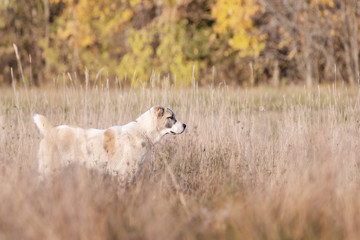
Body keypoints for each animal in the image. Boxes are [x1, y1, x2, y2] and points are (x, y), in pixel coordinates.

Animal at [32, 106, 187, 183]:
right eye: (171, 117)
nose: (185, 125)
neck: (143, 131)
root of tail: (50, 129)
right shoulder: (125, 174)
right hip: (48, 169)